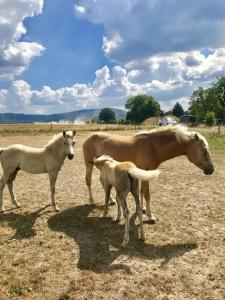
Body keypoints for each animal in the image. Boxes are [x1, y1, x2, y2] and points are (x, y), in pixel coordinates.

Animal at [82, 125, 214, 223]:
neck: (153, 146)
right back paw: (91, 201)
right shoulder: (145, 173)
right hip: (89, 165)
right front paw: (151, 216)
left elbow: (141, 192)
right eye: (203, 149)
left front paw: (142, 208)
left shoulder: (142, 174)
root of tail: (89, 137)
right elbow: (147, 194)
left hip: (103, 165)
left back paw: (111, 200)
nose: (211, 169)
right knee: (88, 180)